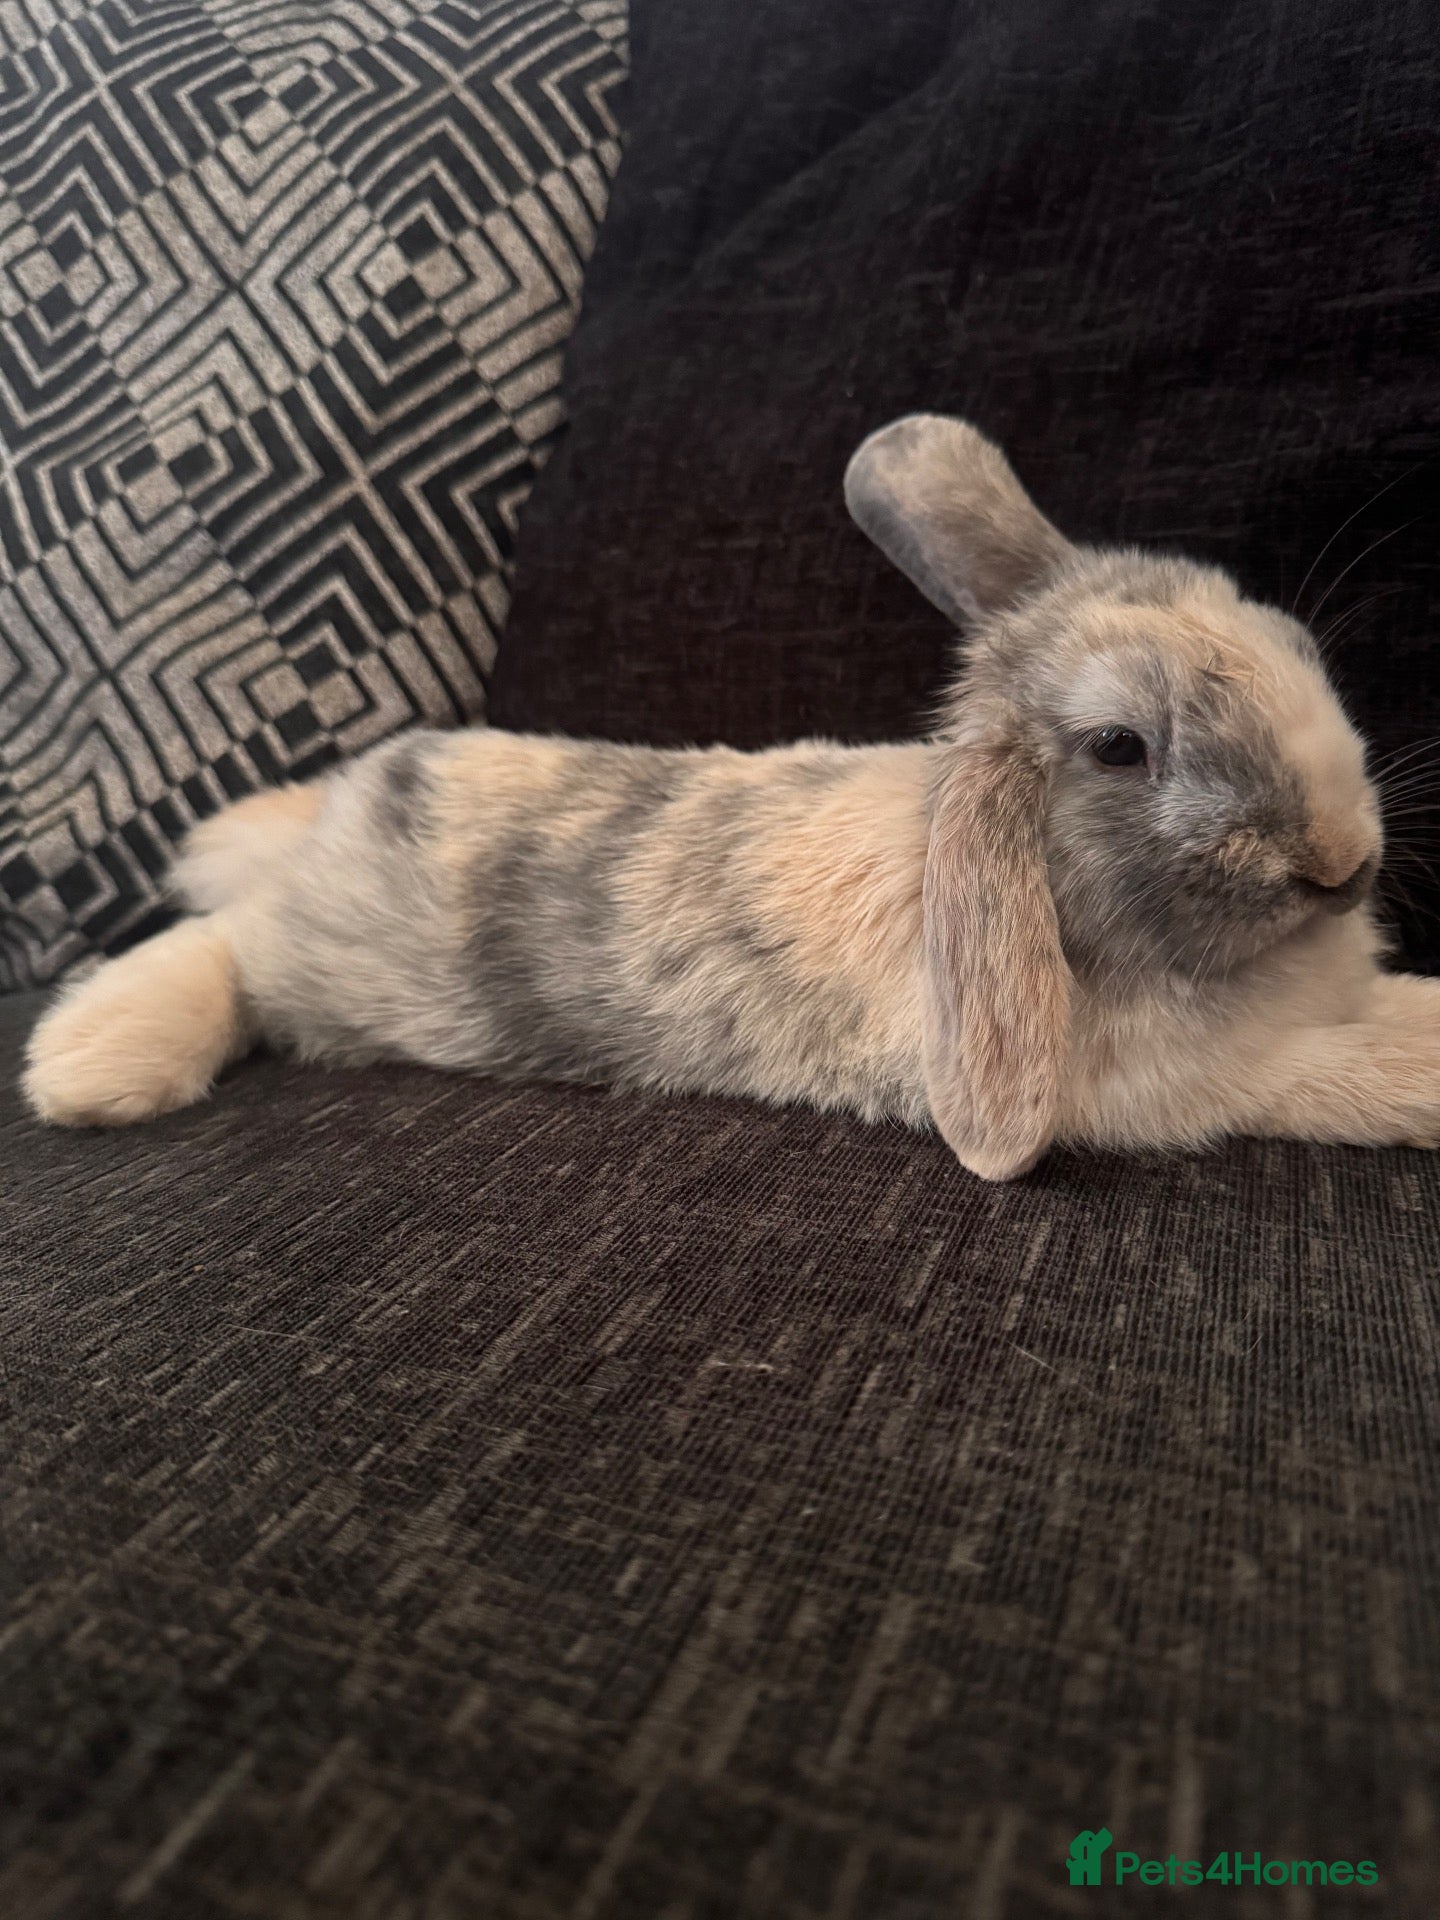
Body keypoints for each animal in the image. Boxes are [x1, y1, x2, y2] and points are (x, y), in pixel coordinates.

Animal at [21, 414, 1440, 1179]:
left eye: (1289, 641)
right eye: (1119, 749)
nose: (1343, 862)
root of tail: (341, 804)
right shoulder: (1220, 1081)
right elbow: (1349, 1067)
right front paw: (1422, 1050)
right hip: (329, 964)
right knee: (227, 942)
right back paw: (90, 1067)